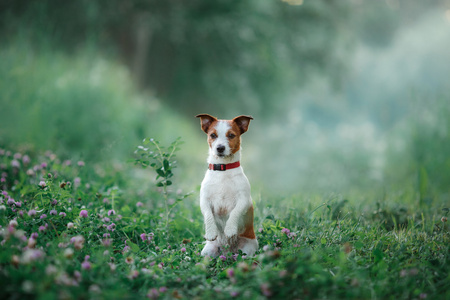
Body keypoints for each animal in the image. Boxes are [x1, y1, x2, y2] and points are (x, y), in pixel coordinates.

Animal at [195, 113, 258, 256]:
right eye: (213, 135)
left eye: (231, 135)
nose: (220, 148)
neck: (223, 169)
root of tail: (227, 251)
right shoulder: (204, 200)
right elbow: (208, 214)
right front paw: (210, 232)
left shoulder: (243, 199)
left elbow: (235, 212)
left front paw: (229, 229)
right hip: (208, 252)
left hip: (248, 250)